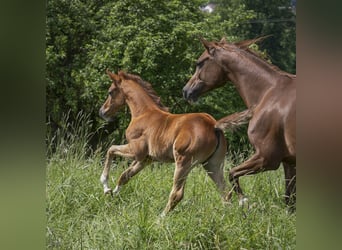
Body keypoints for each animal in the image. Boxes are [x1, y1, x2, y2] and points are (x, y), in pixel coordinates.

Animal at [99, 70, 254, 215]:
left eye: (110, 92)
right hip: (212, 164)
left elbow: (111, 150)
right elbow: (124, 176)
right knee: (225, 192)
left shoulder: (136, 151)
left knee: (177, 194)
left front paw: (105, 185)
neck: (143, 113)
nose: (102, 112)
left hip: (183, 162)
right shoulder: (146, 159)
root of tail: (213, 125)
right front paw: (112, 194)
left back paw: (160, 218)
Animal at [182, 36, 296, 207]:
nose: (186, 91)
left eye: (200, 63)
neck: (269, 93)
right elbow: (290, 200)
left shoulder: (267, 158)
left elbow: (232, 173)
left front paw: (244, 201)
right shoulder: (288, 161)